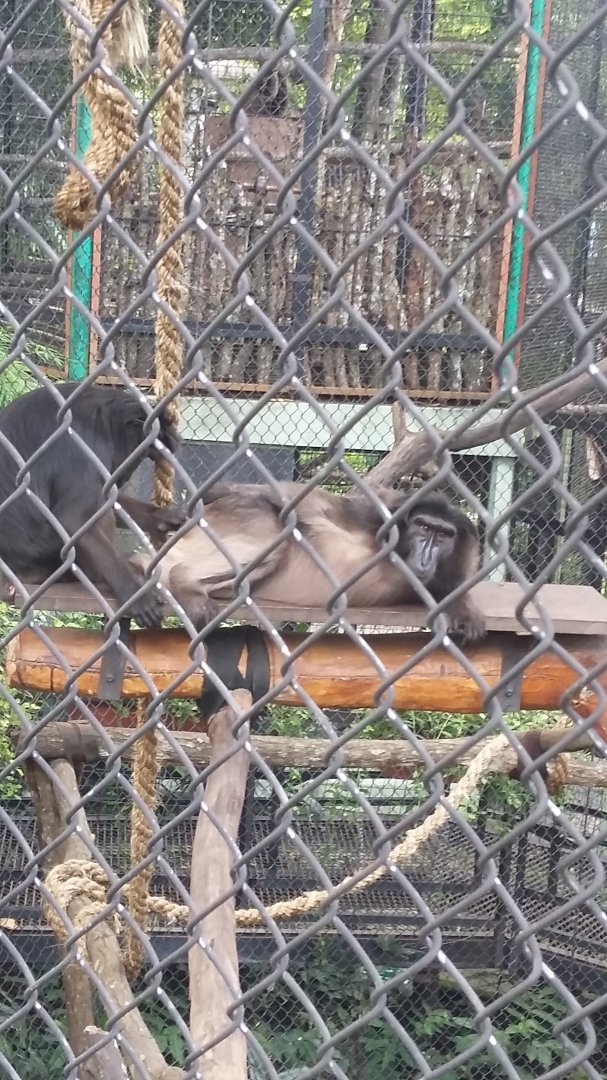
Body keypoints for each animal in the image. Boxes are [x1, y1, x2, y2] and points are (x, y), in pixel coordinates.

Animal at [132, 483, 486, 644]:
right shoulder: (380, 511)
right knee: (277, 533)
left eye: (444, 536)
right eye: (423, 528)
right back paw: (181, 577)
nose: (426, 553)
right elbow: (298, 503)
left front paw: (463, 607)